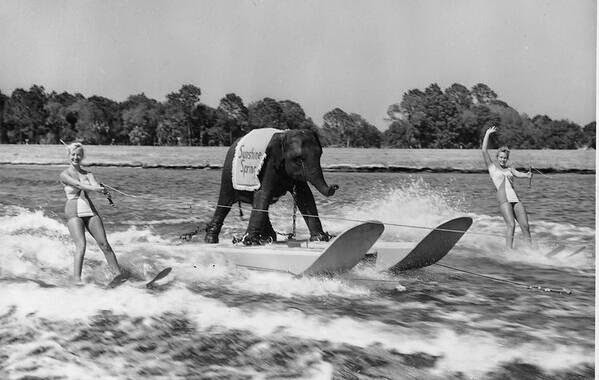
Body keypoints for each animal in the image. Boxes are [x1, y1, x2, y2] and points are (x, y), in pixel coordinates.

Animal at [205, 129, 338, 245]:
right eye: (298, 159)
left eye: (320, 155)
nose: (335, 186)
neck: (284, 135)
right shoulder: (269, 163)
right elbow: (263, 192)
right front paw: (249, 242)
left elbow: (304, 194)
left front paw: (320, 238)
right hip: (228, 172)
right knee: (225, 201)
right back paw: (211, 240)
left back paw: (268, 238)